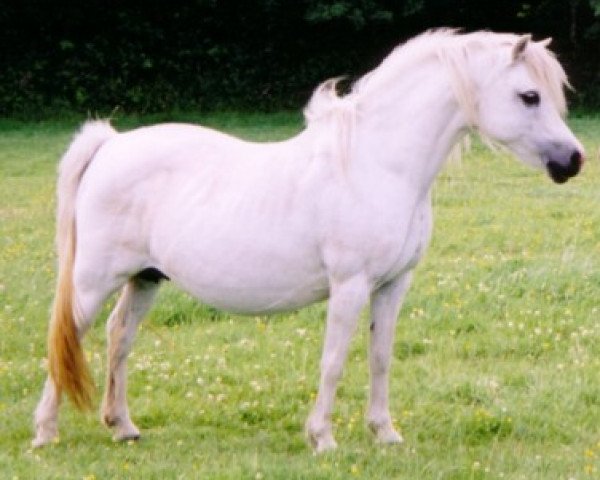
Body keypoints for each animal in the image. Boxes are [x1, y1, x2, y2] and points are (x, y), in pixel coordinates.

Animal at [31, 30, 580, 450]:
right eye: (529, 96)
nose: (573, 161)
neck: (375, 163)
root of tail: (111, 144)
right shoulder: (350, 286)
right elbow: (333, 360)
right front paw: (323, 438)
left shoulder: (393, 286)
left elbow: (380, 358)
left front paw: (385, 433)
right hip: (93, 281)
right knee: (68, 338)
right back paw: (45, 433)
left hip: (145, 278)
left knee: (119, 336)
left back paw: (122, 426)